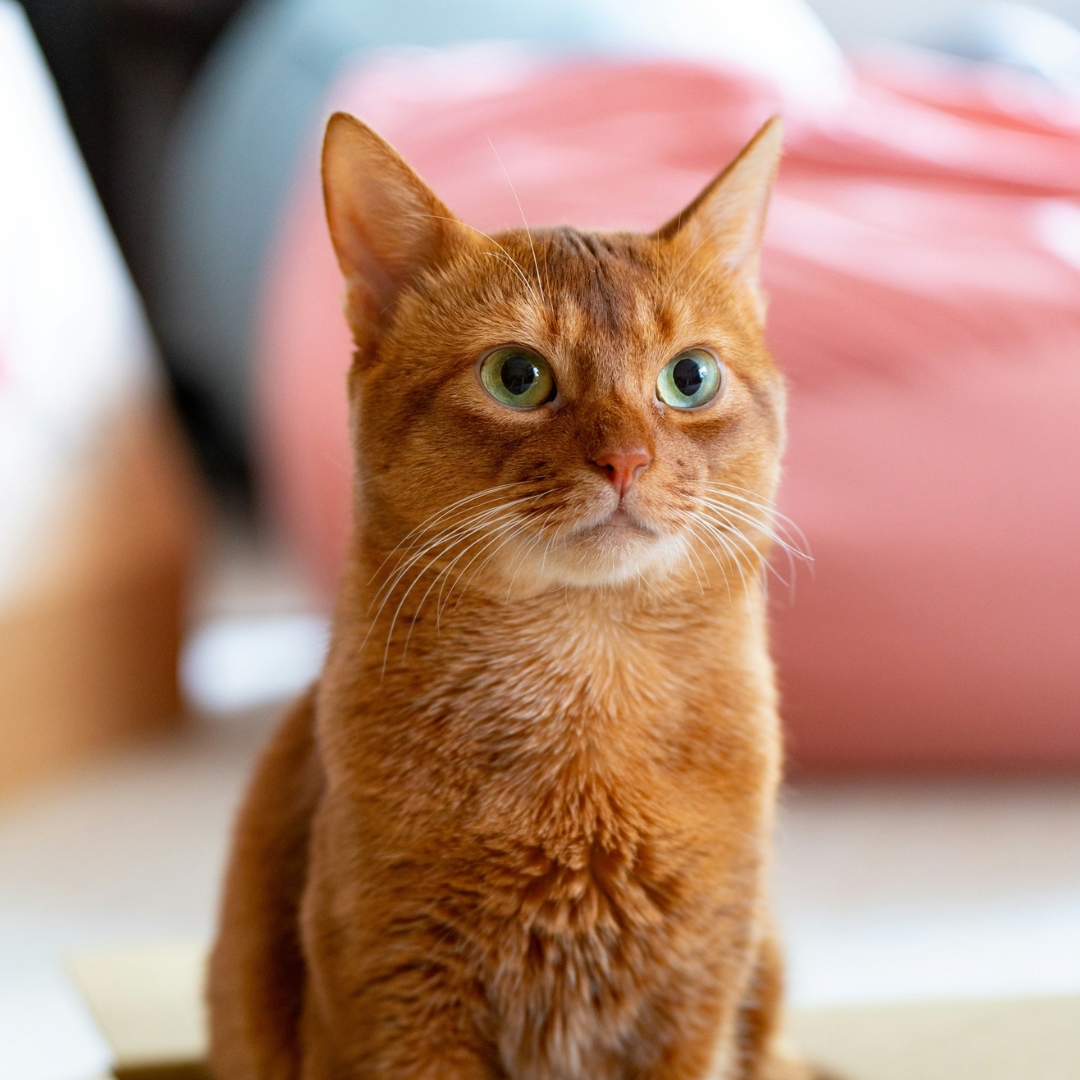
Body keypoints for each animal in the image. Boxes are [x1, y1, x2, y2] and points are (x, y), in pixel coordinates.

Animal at [208, 111, 816, 1080]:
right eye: (516, 377)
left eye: (689, 378)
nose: (625, 460)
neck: (583, 697)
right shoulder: (399, 1004)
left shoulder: (698, 1003)